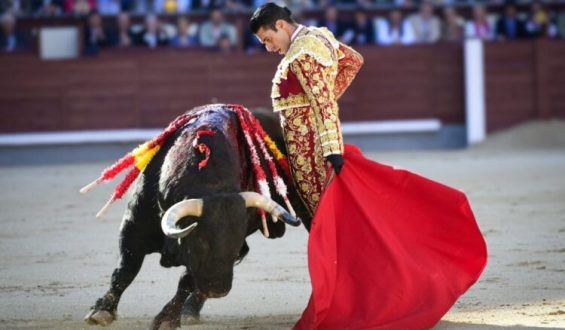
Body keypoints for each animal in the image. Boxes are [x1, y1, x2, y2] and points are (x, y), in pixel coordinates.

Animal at [83, 104, 310, 328]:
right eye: (200, 241)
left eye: (235, 243)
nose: (218, 289)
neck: (211, 184)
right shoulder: (133, 227)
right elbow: (125, 270)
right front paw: (102, 311)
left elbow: (186, 280)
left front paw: (167, 318)